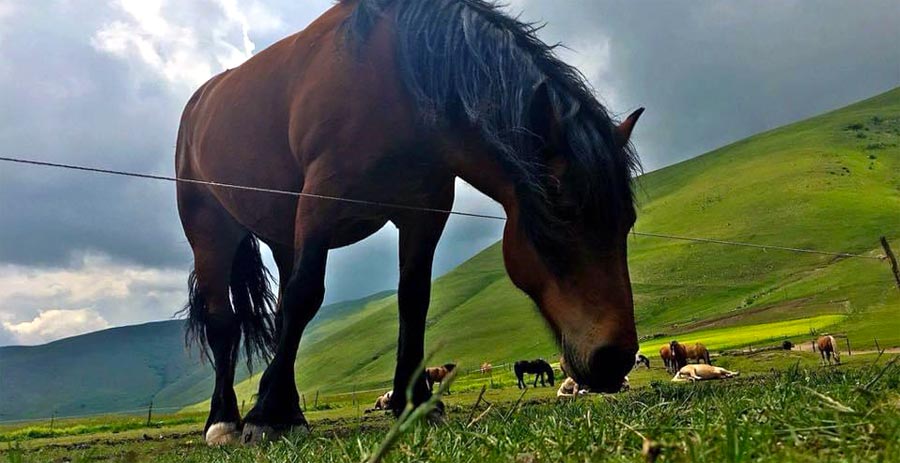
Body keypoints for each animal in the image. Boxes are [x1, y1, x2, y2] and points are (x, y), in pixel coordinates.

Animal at [176, 0, 640, 446]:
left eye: (628, 220)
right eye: (563, 210)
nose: (615, 358)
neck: (393, 83)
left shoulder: (424, 214)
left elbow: (413, 300)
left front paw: (415, 403)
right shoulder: (319, 204)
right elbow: (305, 296)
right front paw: (266, 415)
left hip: (283, 237)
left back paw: (288, 408)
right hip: (211, 231)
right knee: (224, 323)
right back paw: (224, 422)